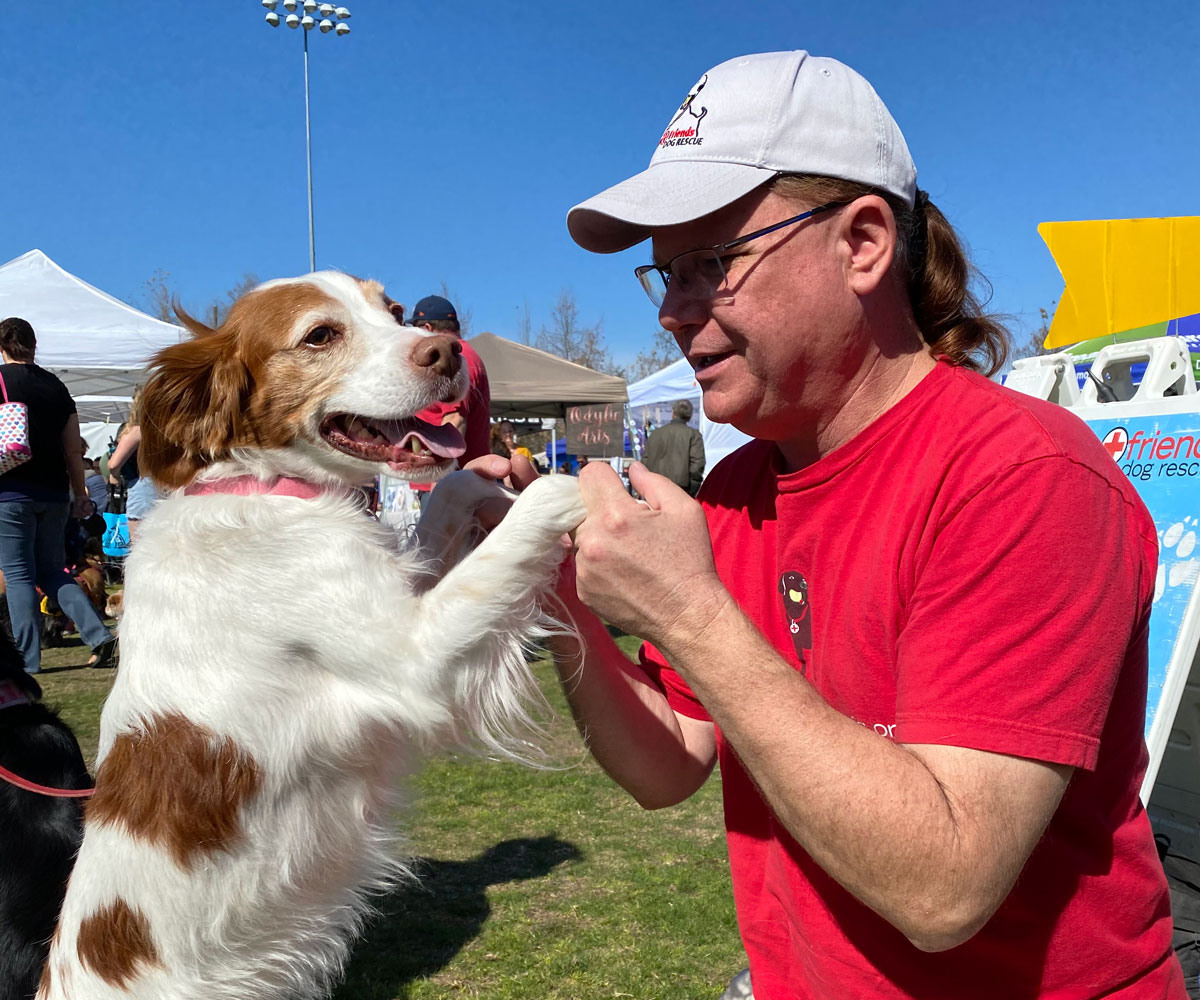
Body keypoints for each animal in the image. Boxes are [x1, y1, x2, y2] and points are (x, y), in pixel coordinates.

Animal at [44, 271, 588, 998]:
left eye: (394, 311)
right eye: (320, 335)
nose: (446, 351)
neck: (267, 487)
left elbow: (448, 499)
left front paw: (489, 478)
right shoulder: (413, 656)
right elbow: (518, 533)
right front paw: (580, 490)